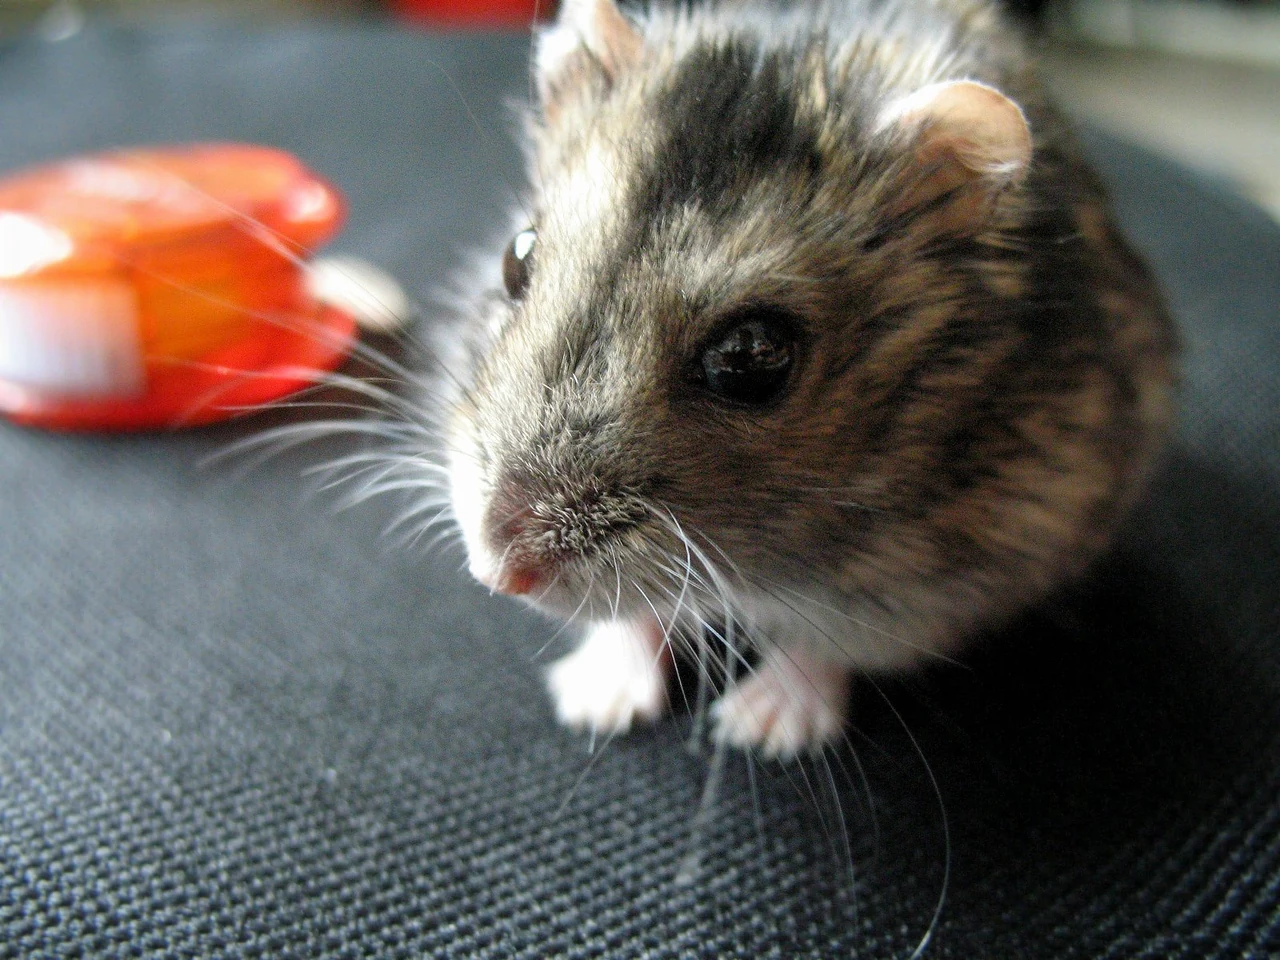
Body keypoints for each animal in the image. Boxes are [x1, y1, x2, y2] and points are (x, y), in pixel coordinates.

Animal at [441, 0, 1178, 757]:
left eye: (750, 357)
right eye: (515, 259)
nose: (496, 573)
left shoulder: (966, 569)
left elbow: (825, 643)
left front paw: (760, 732)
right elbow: (636, 615)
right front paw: (593, 705)